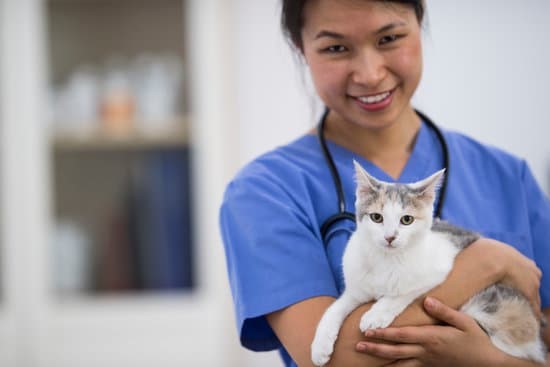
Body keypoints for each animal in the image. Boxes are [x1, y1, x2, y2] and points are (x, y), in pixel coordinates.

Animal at [310, 162, 548, 367]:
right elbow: (334, 308)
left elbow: (403, 292)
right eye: (376, 217)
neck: (387, 259)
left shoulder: (439, 268)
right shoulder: (357, 289)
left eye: (406, 220)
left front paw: (376, 314)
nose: (390, 237)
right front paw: (320, 346)